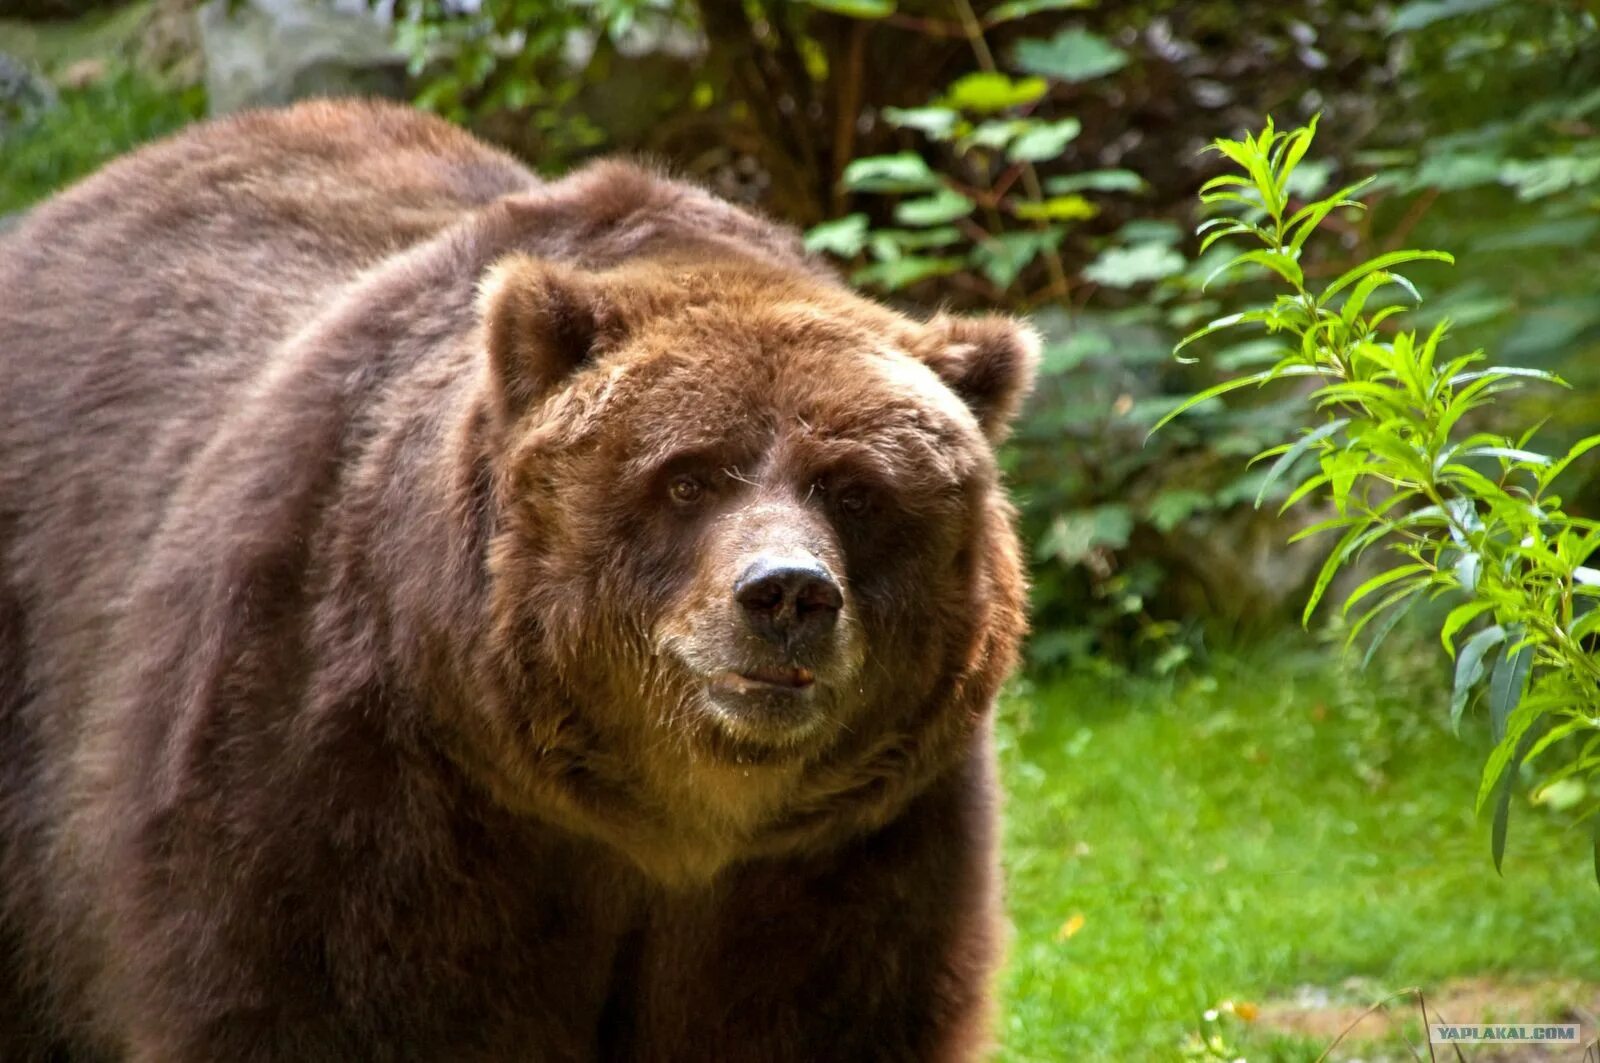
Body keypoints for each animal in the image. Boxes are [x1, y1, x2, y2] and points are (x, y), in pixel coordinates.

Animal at [0, 101, 1030, 1063]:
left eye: (854, 489)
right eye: (689, 476)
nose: (787, 594)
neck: (657, 823)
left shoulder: (846, 856)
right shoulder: (346, 772)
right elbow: (318, 998)